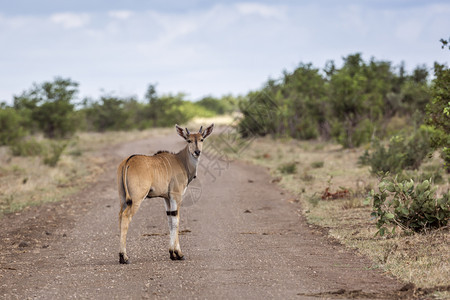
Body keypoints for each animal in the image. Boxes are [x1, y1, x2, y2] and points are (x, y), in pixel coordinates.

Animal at [117, 123, 214, 264]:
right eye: (188, 140)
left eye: (202, 139)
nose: (197, 152)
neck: (181, 161)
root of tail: (128, 162)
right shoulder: (176, 195)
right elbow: (176, 220)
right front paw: (178, 253)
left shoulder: (167, 198)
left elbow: (170, 219)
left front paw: (172, 253)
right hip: (137, 199)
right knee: (126, 216)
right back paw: (124, 256)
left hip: (123, 199)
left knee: (120, 216)